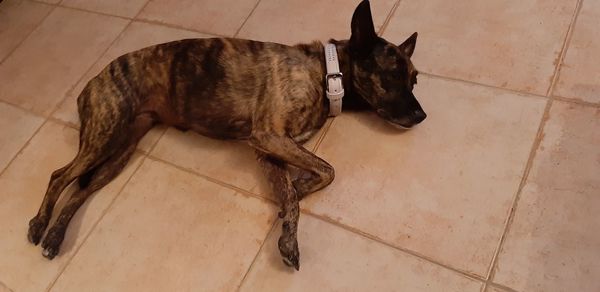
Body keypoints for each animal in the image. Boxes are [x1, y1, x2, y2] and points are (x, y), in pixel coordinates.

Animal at [24, 0, 426, 270]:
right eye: (391, 75)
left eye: (415, 79)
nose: (422, 116)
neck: (326, 74)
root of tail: (91, 80)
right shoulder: (268, 138)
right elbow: (327, 170)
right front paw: (292, 219)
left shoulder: (269, 151)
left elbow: (297, 191)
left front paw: (288, 216)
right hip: (105, 133)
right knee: (60, 176)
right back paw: (40, 224)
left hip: (120, 151)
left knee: (80, 191)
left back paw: (55, 237)